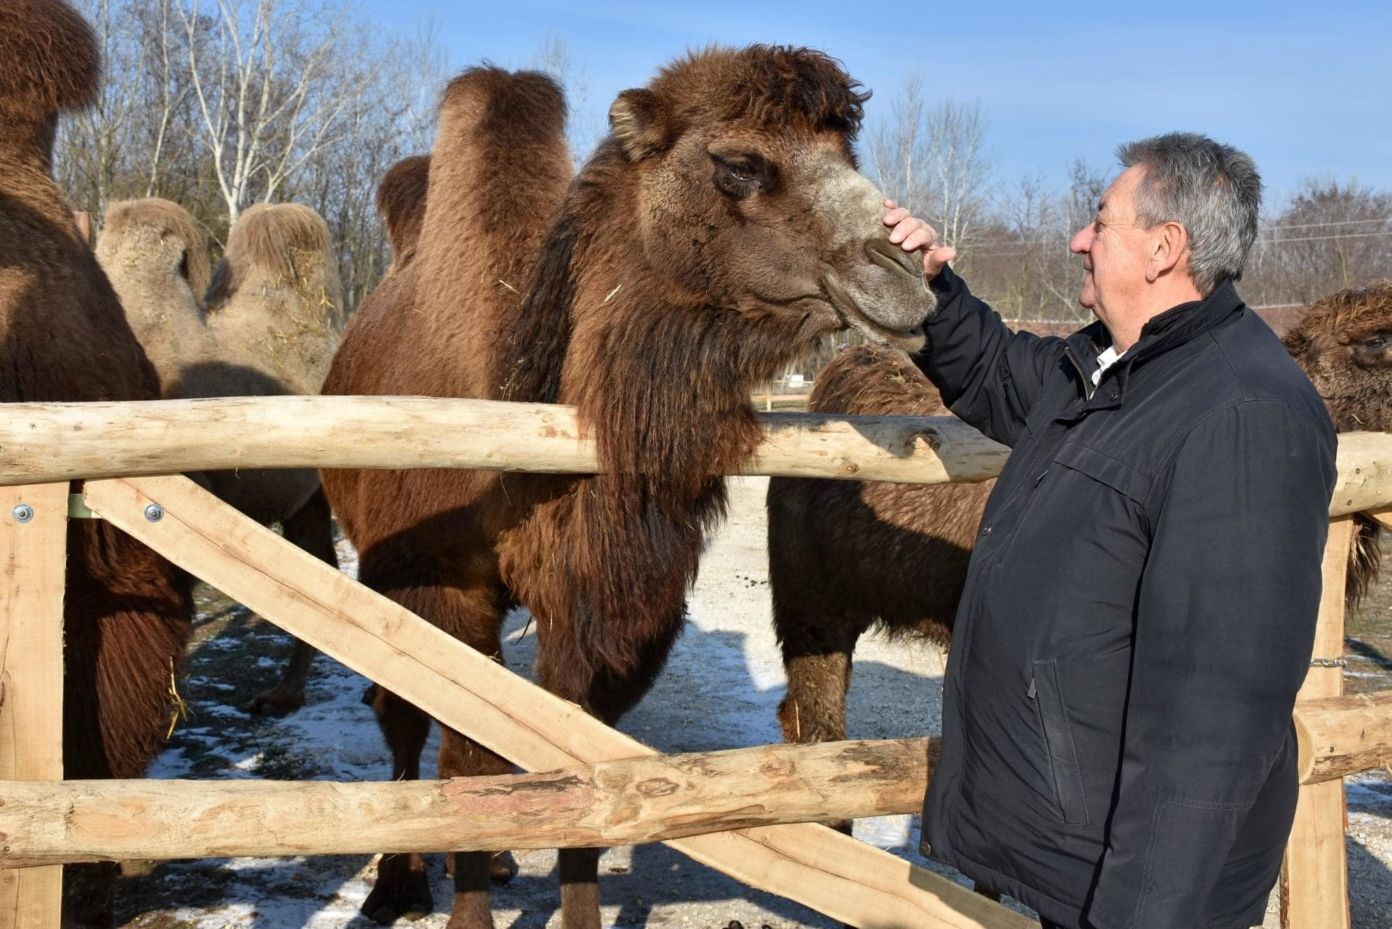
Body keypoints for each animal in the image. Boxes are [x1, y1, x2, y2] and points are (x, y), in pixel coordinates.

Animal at [322, 54, 935, 929]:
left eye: (847, 152)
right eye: (738, 163)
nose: (906, 271)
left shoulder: (611, 604)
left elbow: (580, 758)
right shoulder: (439, 582)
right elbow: (461, 752)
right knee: (403, 719)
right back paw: (395, 882)